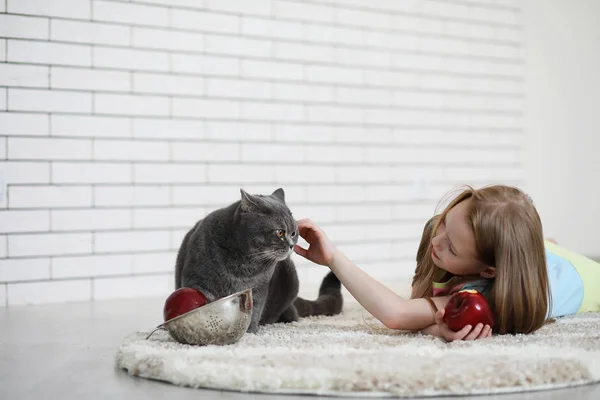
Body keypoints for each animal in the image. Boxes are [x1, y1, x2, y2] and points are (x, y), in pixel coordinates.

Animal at [173, 189, 342, 332]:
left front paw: (249, 331)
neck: (245, 263)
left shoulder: (259, 288)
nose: (292, 245)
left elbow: (254, 308)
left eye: (294, 233)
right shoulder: (198, 280)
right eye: (280, 233)